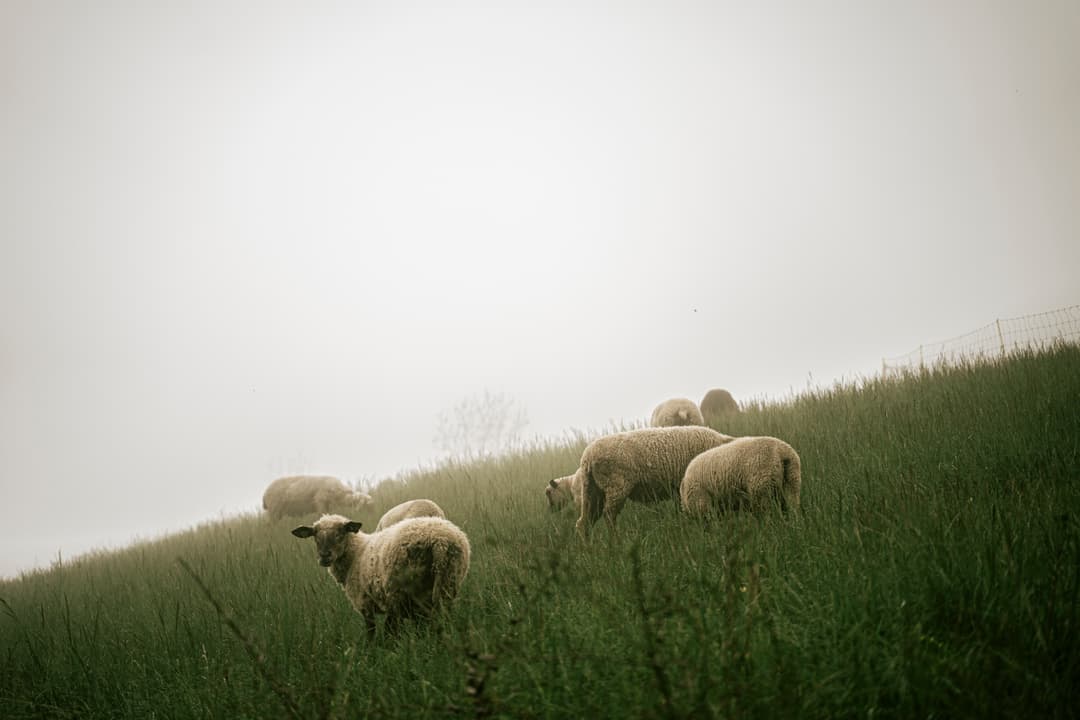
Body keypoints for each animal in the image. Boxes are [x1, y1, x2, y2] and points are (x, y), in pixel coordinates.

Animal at [292, 513, 470, 636]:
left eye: (340, 533)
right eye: (315, 536)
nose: (324, 556)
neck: (355, 553)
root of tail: (440, 541)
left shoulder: (364, 603)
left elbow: (372, 632)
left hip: (403, 592)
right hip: (448, 583)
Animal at [575, 426, 734, 538]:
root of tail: (587, 457)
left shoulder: (678, 490)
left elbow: (679, 510)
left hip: (593, 491)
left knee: (584, 522)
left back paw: (589, 550)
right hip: (616, 487)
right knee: (608, 516)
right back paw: (617, 543)